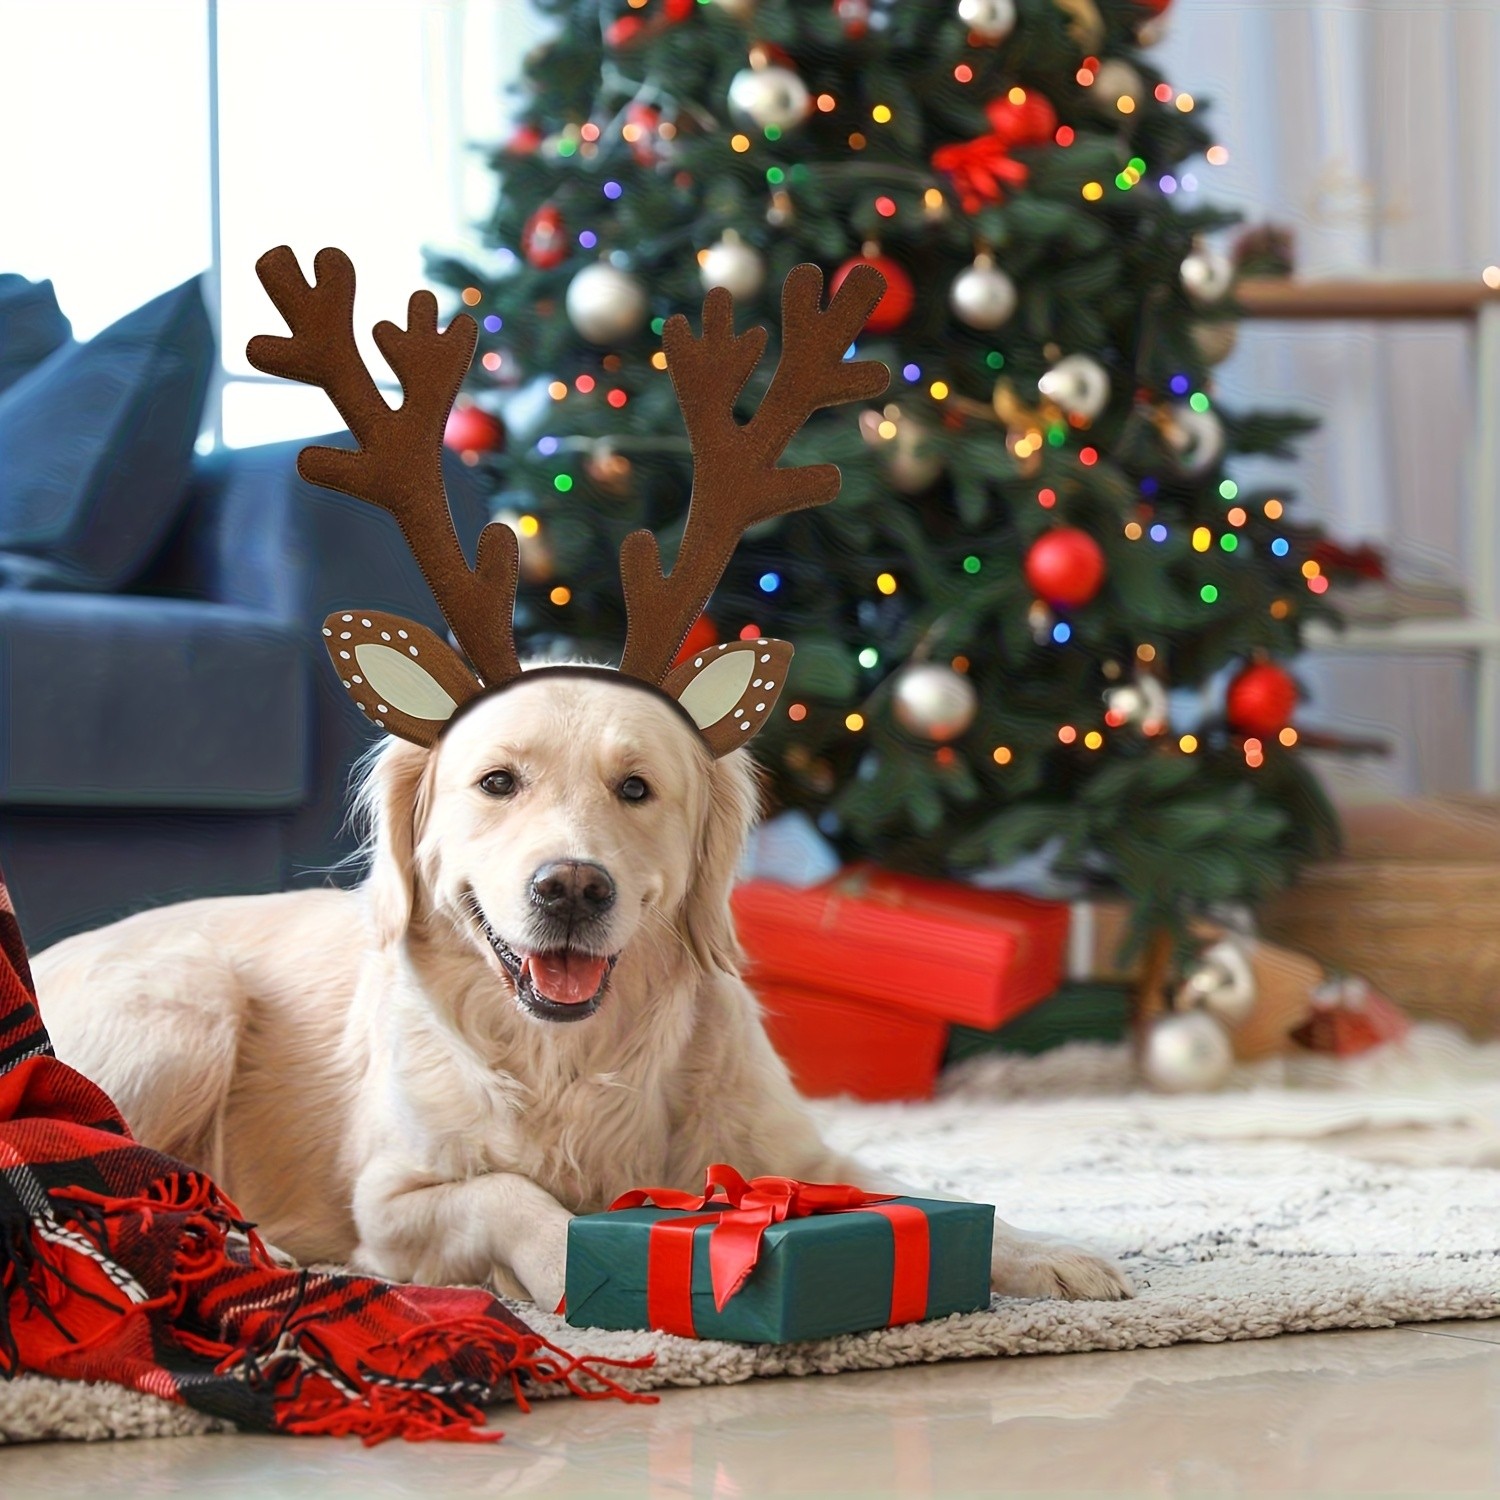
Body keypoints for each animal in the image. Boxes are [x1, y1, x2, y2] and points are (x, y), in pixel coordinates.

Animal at [34, 249, 1132, 1315]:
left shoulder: (796, 1147)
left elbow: (916, 1193)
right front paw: (574, 1267)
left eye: (637, 789)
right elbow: (515, 1197)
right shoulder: (393, 1203)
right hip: (188, 1005)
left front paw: (1052, 1253)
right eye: (497, 782)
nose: (570, 889)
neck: (571, 1064)